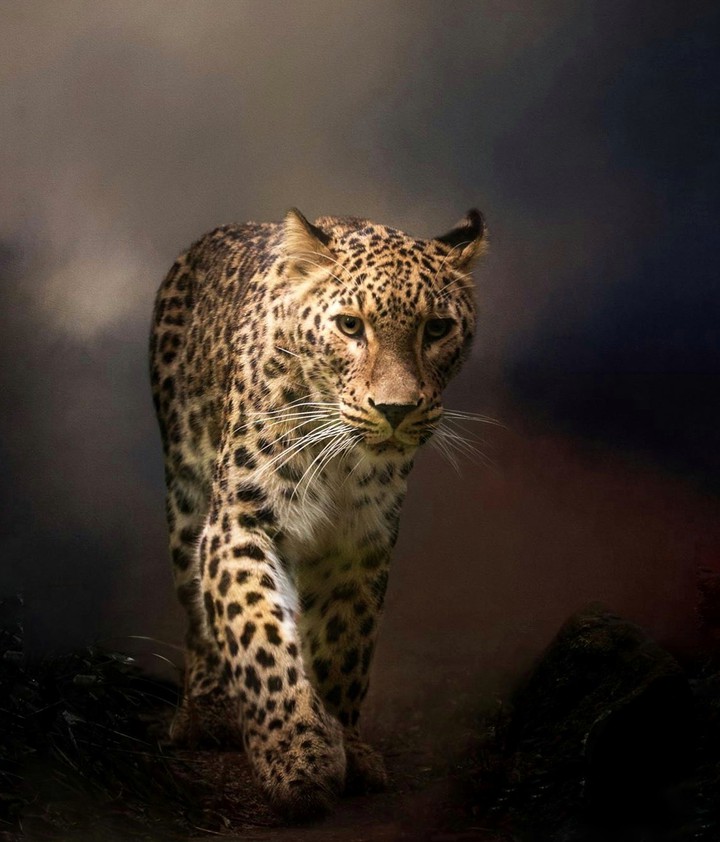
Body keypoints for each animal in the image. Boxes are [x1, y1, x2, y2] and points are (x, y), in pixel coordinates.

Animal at [149, 207, 486, 820]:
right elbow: (257, 632)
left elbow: (344, 649)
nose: (395, 410)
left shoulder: (359, 545)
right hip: (186, 491)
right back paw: (206, 710)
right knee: (198, 609)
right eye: (351, 327)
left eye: (436, 329)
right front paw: (297, 757)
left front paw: (346, 745)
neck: (342, 461)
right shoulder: (240, 520)